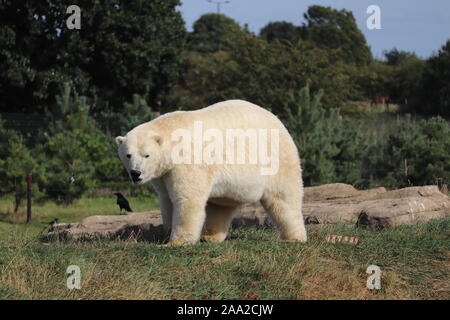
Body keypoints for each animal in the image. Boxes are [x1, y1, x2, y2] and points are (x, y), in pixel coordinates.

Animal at [115, 100, 306, 245]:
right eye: (128, 155)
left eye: (146, 155)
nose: (136, 173)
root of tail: (278, 122)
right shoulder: (164, 173)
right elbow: (167, 200)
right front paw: (166, 234)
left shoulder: (187, 163)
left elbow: (187, 199)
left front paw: (176, 242)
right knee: (221, 205)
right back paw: (210, 237)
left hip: (275, 159)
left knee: (283, 199)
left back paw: (295, 237)